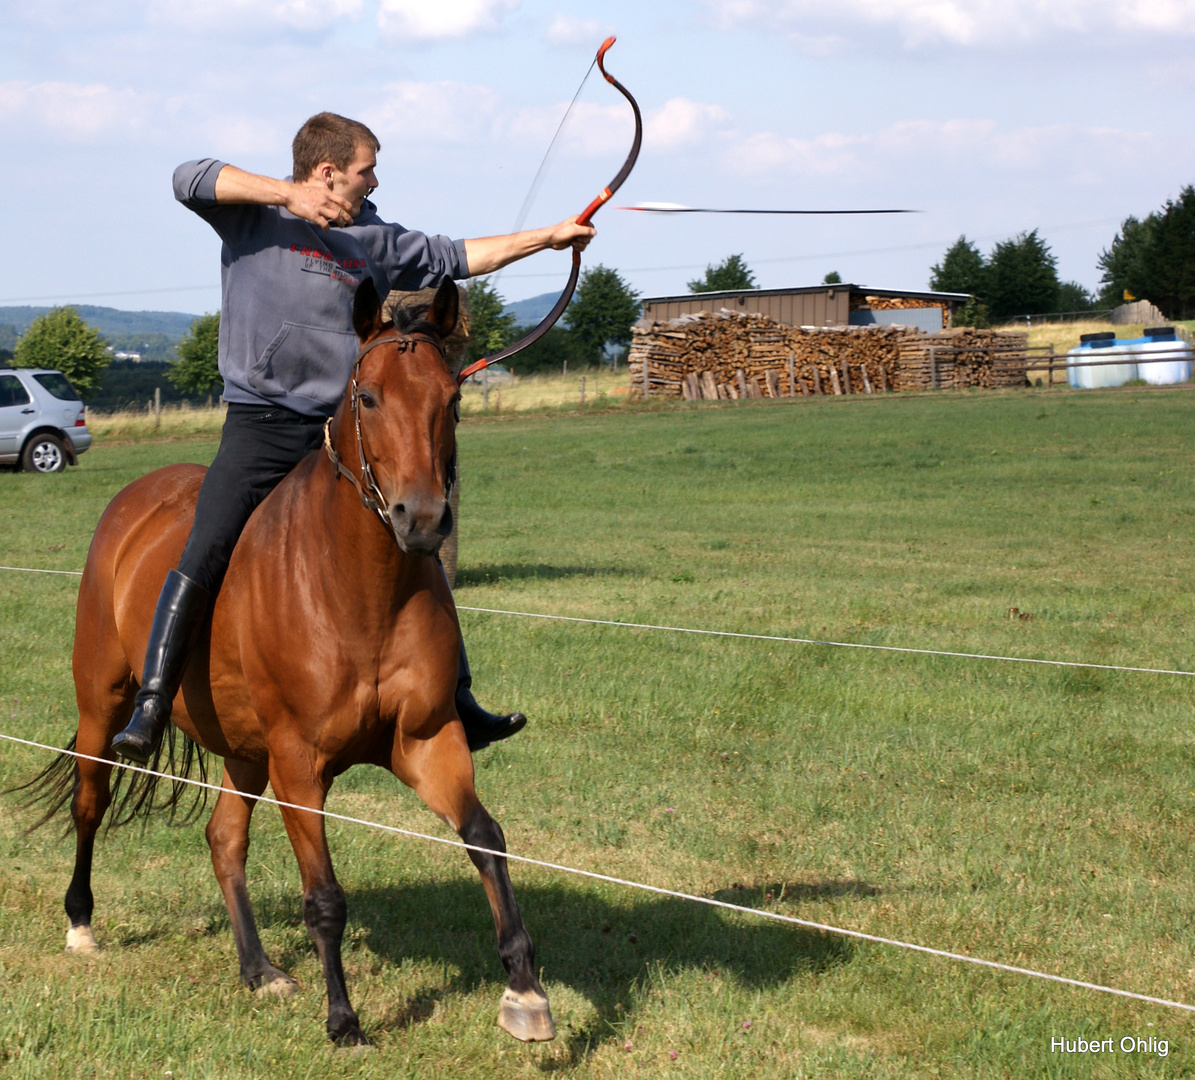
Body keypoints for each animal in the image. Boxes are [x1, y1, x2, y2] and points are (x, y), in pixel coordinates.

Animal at [46, 275, 554, 1046]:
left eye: (451, 398)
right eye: (367, 396)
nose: (422, 520)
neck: (356, 588)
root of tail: (134, 500)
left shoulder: (426, 742)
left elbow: (485, 839)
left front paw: (524, 991)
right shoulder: (300, 764)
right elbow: (324, 898)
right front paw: (344, 1021)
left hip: (244, 751)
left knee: (223, 839)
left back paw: (259, 969)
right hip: (104, 704)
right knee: (90, 802)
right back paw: (81, 924)